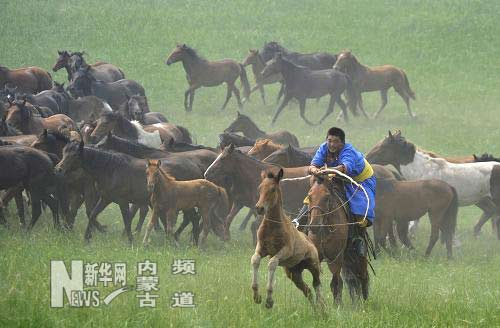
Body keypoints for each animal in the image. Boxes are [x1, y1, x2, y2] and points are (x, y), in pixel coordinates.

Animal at [250, 169, 324, 310]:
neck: (273, 226)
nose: (259, 208)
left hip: (313, 265)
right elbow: (255, 260)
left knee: (316, 284)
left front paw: (269, 300)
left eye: (273, 189)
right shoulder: (261, 248)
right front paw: (257, 296)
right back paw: (316, 310)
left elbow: (272, 263)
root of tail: (309, 240)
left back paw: (321, 307)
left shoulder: (286, 251)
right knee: (307, 290)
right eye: (259, 188)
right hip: (293, 274)